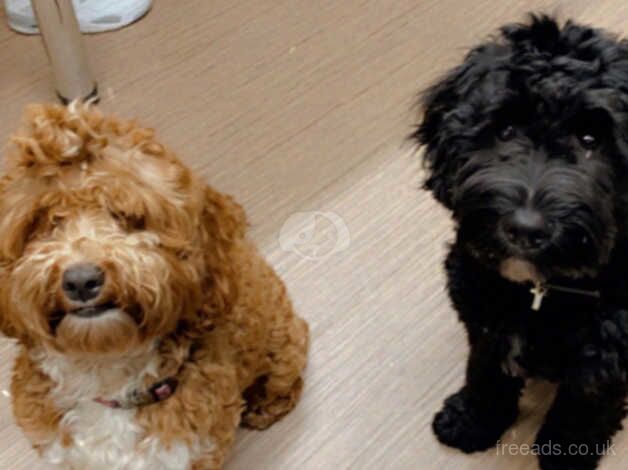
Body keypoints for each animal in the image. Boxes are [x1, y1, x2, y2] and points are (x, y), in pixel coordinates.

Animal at [0, 103, 306, 470]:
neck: (104, 373)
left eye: (127, 216)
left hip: (282, 345)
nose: (81, 280)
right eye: (45, 222)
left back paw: (264, 406)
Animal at [410, 14, 628, 470]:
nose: (525, 229)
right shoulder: (484, 316)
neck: (540, 291)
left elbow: (585, 404)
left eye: (591, 140)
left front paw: (567, 452)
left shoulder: (606, 354)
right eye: (506, 130)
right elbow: (484, 372)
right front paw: (472, 421)